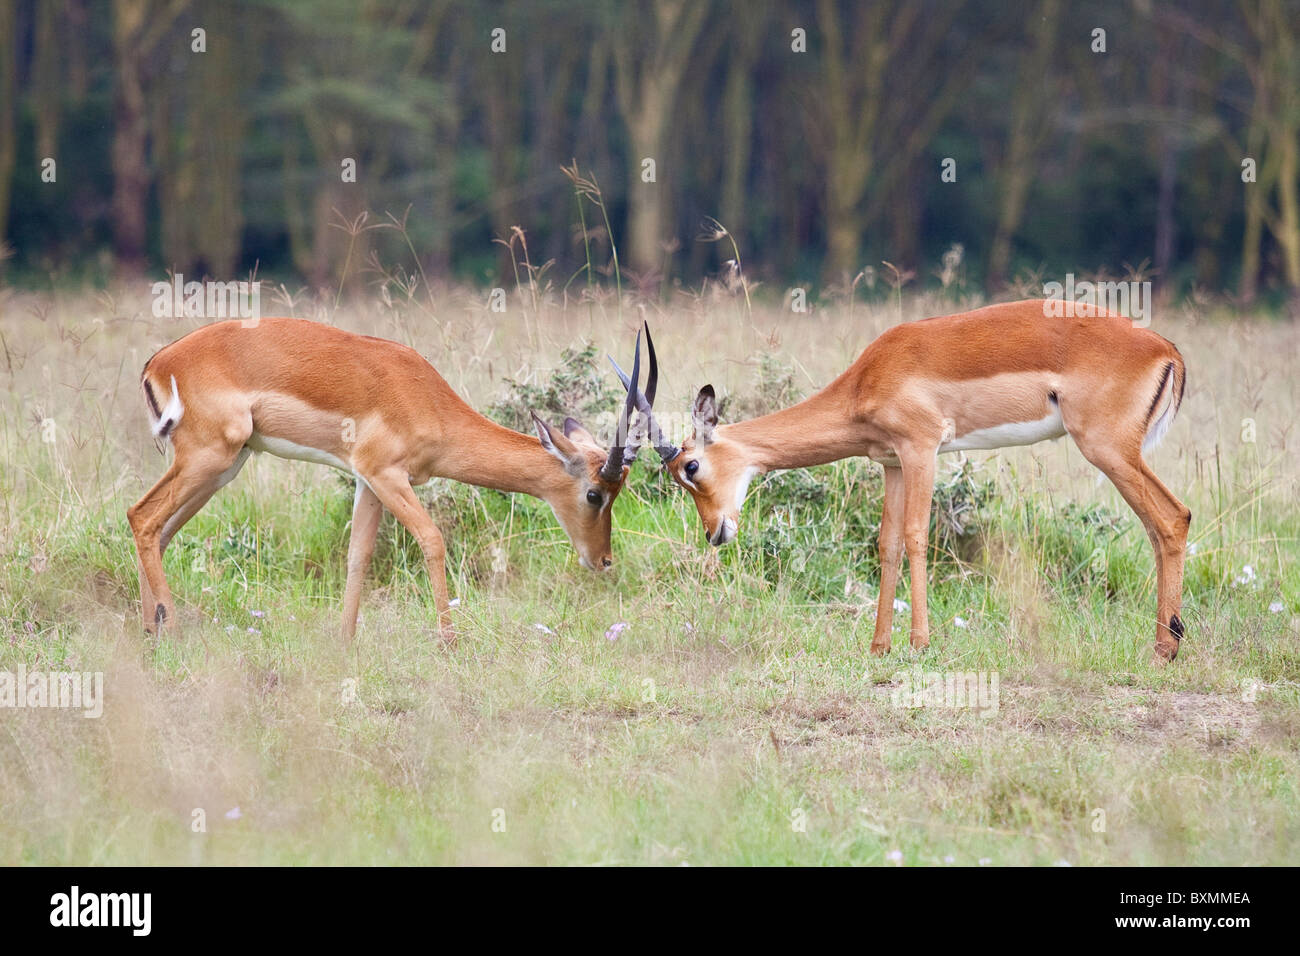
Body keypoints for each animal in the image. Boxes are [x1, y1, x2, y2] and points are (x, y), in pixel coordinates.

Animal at [126, 317, 655, 639]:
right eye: (595, 493)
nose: (603, 560)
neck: (428, 400)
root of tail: (158, 361)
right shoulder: (387, 475)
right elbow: (433, 540)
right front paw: (449, 643)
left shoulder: (367, 481)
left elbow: (357, 556)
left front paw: (344, 641)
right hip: (209, 457)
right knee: (142, 517)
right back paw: (171, 630)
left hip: (223, 468)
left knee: (159, 531)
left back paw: (151, 630)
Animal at [618, 303, 1190, 660]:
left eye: (690, 468)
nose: (715, 532)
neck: (867, 380)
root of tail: (1166, 348)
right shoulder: (892, 462)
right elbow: (887, 543)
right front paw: (879, 647)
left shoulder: (922, 449)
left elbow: (917, 536)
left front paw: (919, 643)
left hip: (1107, 450)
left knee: (1172, 518)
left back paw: (1165, 649)